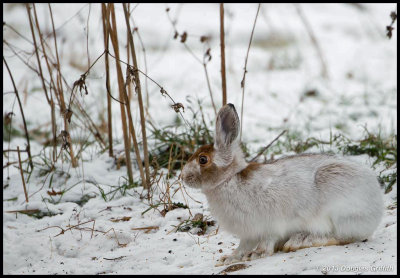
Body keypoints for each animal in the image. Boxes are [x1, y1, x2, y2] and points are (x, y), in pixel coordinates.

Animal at [181, 103, 384, 264]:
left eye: (203, 160)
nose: (182, 177)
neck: (229, 179)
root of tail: (377, 205)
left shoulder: (269, 224)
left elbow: (266, 240)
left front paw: (257, 254)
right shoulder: (248, 233)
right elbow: (242, 246)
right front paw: (229, 258)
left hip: (339, 207)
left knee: (343, 236)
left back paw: (301, 241)